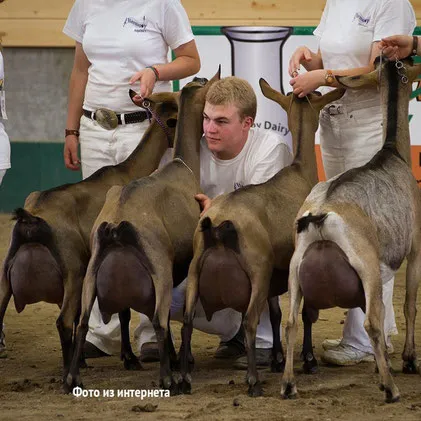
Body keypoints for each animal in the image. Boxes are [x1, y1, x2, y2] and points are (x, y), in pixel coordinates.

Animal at [0, 90, 179, 382]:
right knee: (62, 321)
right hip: (71, 272)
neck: (128, 172)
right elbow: (123, 312)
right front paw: (128, 358)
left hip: (7, 275)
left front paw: (85, 357)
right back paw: (68, 372)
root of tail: (30, 218)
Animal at [177, 79, 344, 398]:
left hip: (196, 272)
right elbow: (305, 314)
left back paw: (184, 380)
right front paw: (308, 360)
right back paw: (253, 381)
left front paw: (278, 359)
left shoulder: (277, 274)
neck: (299, 171)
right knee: (249, 322)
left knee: (188, 320)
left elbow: (277, 314)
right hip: (257, 270)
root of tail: (217, 224)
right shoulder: (295, 264)